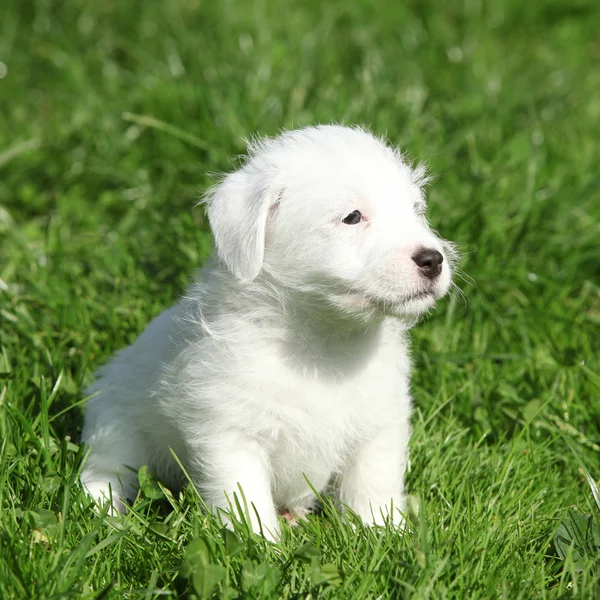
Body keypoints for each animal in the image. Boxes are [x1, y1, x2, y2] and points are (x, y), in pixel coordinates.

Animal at [81, 124, 454, 536]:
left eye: (416, 210)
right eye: (353, 217)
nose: (433, 259)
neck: (322, 345)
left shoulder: (377, 428)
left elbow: (372, 488)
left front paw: (383, 535)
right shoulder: (231, 436)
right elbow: (245, 500)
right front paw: (258, 543)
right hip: (115, 427)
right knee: (104, 472)